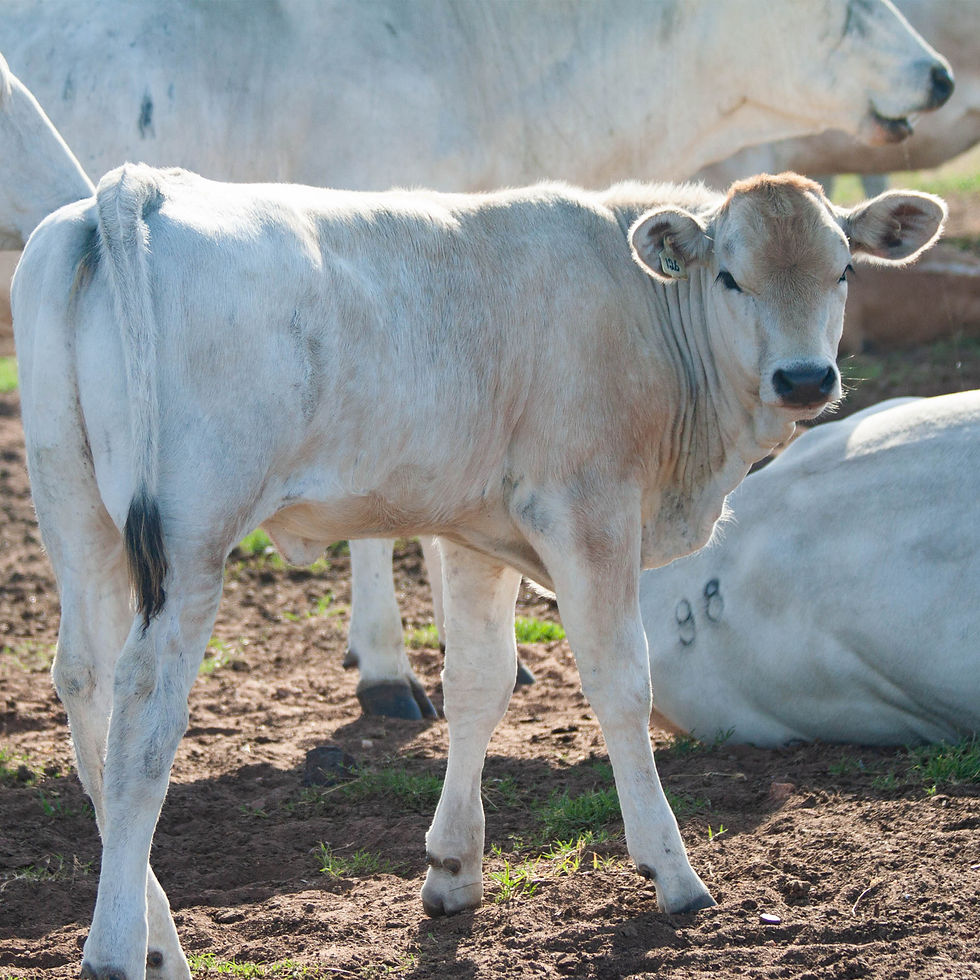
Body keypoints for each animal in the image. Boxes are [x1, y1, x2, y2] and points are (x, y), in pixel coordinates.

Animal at [12, 164, 944, 978]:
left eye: (844, 269)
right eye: (730, 277)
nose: (805, 378)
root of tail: (140, 187)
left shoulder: (476, 532)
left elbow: (478, 685)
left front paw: (454, 869)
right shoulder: (590, 511)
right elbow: (620, 684)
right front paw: (673, 874)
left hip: (77, 516)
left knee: (87, 693)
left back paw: (158, 941)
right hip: (191, 540)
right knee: (143, 721)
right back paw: (115, 951)